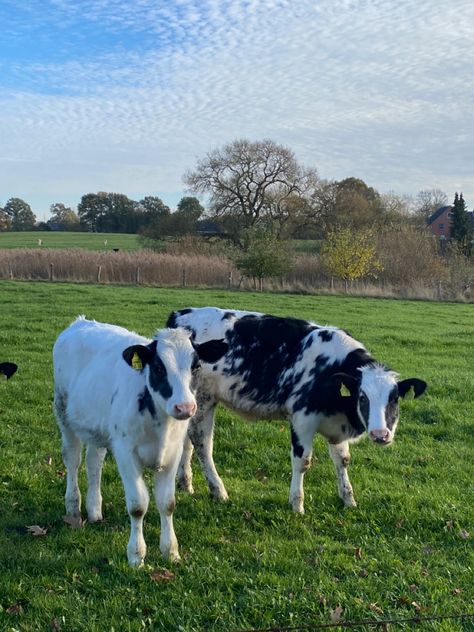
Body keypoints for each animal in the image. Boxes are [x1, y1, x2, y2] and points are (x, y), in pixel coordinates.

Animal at [52, 316, 219, 568]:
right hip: (63, 412)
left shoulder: (173, 454)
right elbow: (138, 505)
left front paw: (170, 551)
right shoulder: (125, 453)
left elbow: (167, 503)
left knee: (93, 463)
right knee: (72, 459)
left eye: (196, 366)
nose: (185, 407)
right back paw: (73, 506)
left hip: (98, 428)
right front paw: (136, 555)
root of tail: (80, 322)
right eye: (158, 368)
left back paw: (94, 509)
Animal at [168, 308, 430, 516]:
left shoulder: (337, 425)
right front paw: (297, 504)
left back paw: (185, 483)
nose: (380, 434)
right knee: (202, 443)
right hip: (203, 399)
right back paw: (218, 490)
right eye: (363, 397)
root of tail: (182, 314)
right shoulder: (303, 419)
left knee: (188, 439)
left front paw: (348, 499)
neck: (330, 371)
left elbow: (342, 460)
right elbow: (302, 461)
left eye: (394, 398)